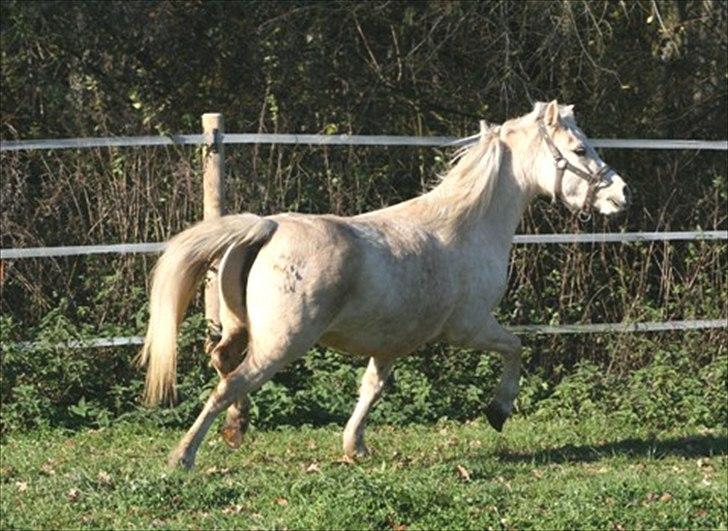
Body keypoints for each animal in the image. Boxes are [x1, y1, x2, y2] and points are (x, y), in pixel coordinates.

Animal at [138, 101, 632, 470]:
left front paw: (354, 446)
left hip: (243, 329)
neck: (466, 226)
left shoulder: (391, 342)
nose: (621, 194)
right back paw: (183, 456)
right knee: (231, 382)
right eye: (579, 149)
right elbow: (516, 348)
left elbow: (372, 388)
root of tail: (267, 227)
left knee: (223, 365)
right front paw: (498, 410)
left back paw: (235, 429)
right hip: (283, 343)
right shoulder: (470, 327)